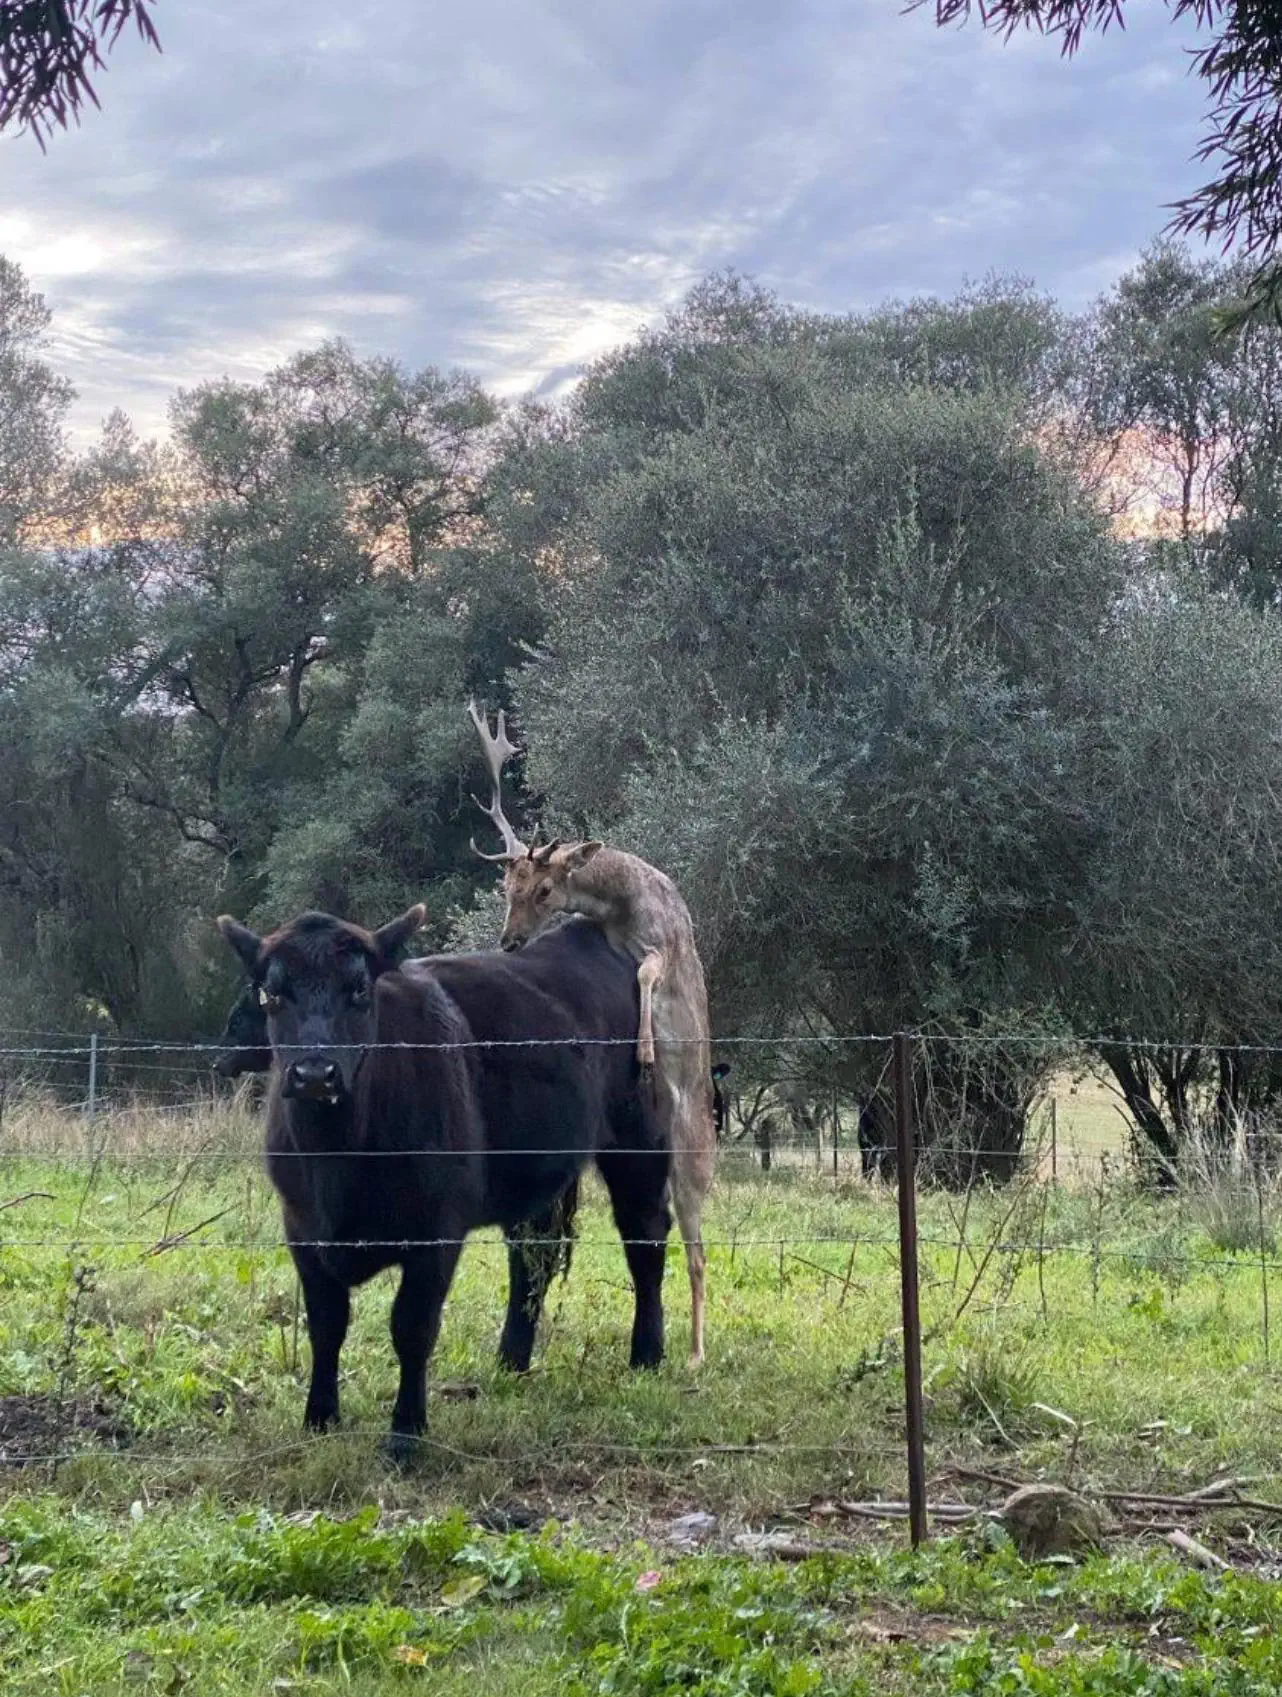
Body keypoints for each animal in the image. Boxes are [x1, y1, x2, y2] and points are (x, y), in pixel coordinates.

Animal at [468, 702, 723, 1364]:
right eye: (506, 887)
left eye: (545, 887)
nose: (508, 941)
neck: (619, 905)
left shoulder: (663, 945)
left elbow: (647, 974)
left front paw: (646, 1047)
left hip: (687, 1157)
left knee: (696, 1248)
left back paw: (694, 1351)